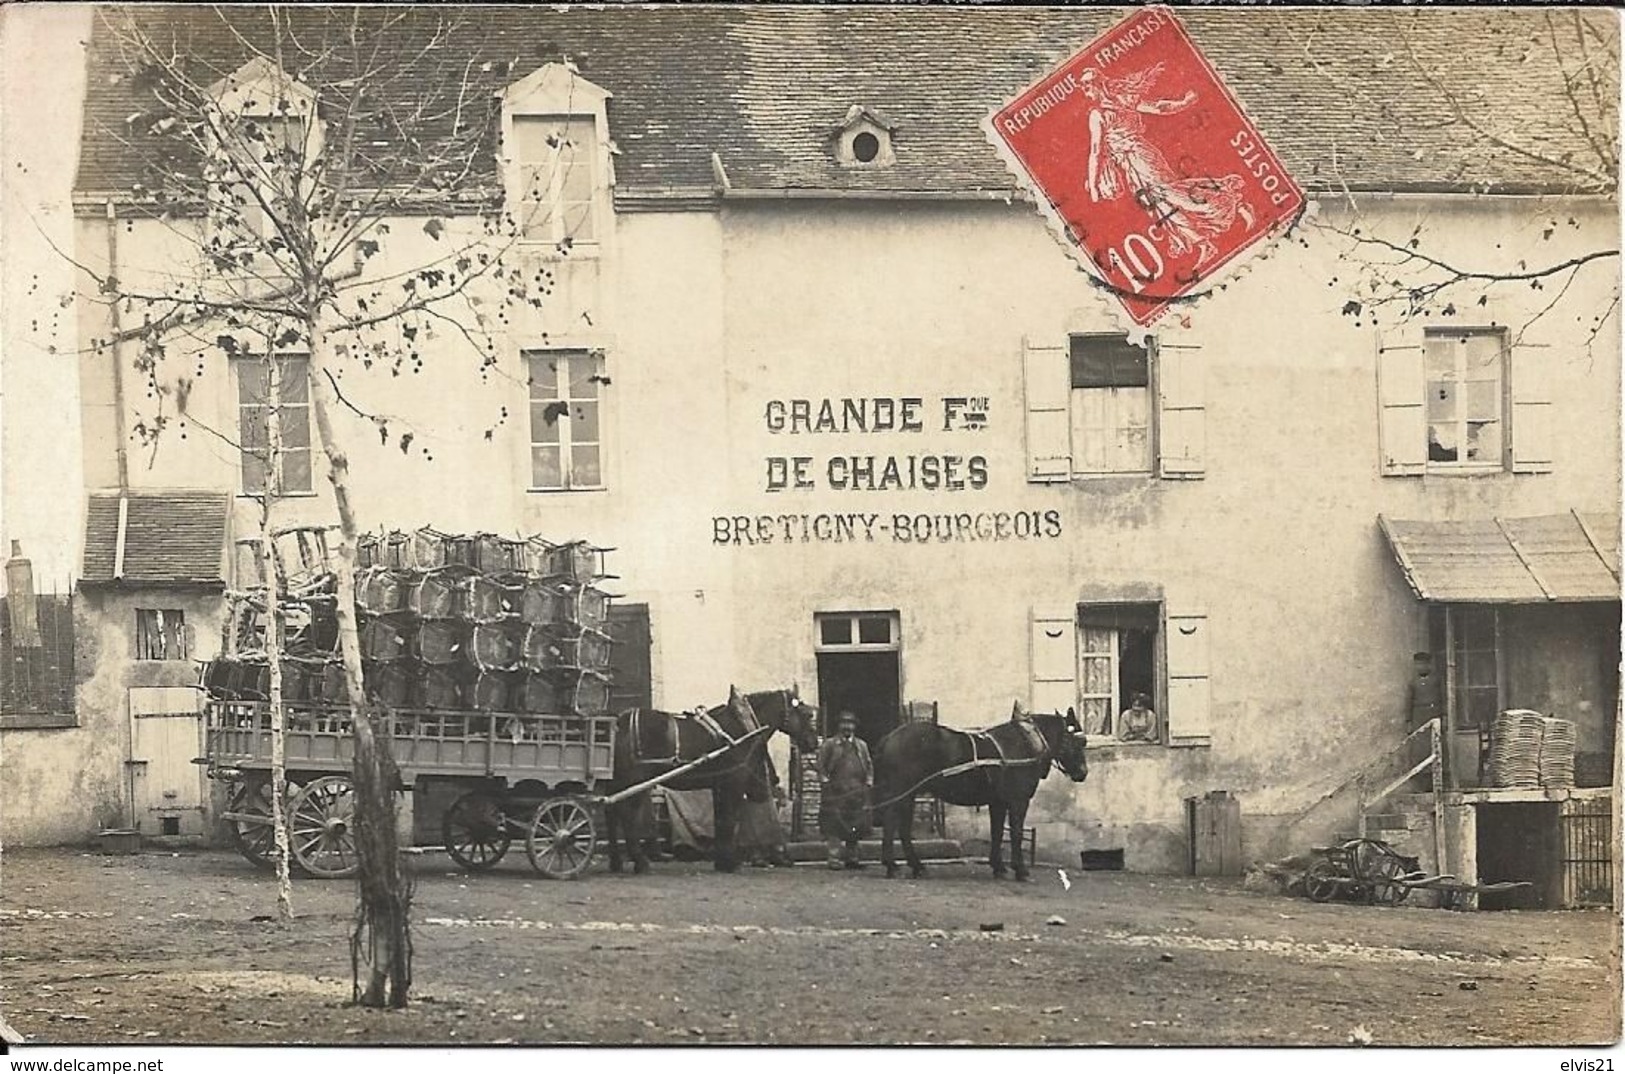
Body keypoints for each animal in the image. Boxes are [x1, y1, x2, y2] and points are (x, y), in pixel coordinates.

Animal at [604, 685, 819, 870]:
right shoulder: (734, 783)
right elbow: (730, 820)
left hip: (618, 782)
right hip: (634, 782)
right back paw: (640, 862)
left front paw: (722, 862)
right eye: (807, 714)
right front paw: (730, 863)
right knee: (627, 816)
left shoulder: (720, 784)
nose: (813, 743)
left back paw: (616, 862)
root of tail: (619, 722)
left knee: (612, 814)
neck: (743, 724)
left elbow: (721, 820)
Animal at [871, 705, 1085, 877]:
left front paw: (998, 866)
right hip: (903, 791)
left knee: (901, 825)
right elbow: (1015, 832)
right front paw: (1020, 869)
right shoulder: (1018, 801)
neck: (1026, 743)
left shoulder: (998, 802)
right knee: (893, 822)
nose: (1083, 773)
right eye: (1078, 742)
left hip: (908, 793)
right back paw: (894, 865)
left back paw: (913, 865)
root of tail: (890, 738)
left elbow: (997, 831)